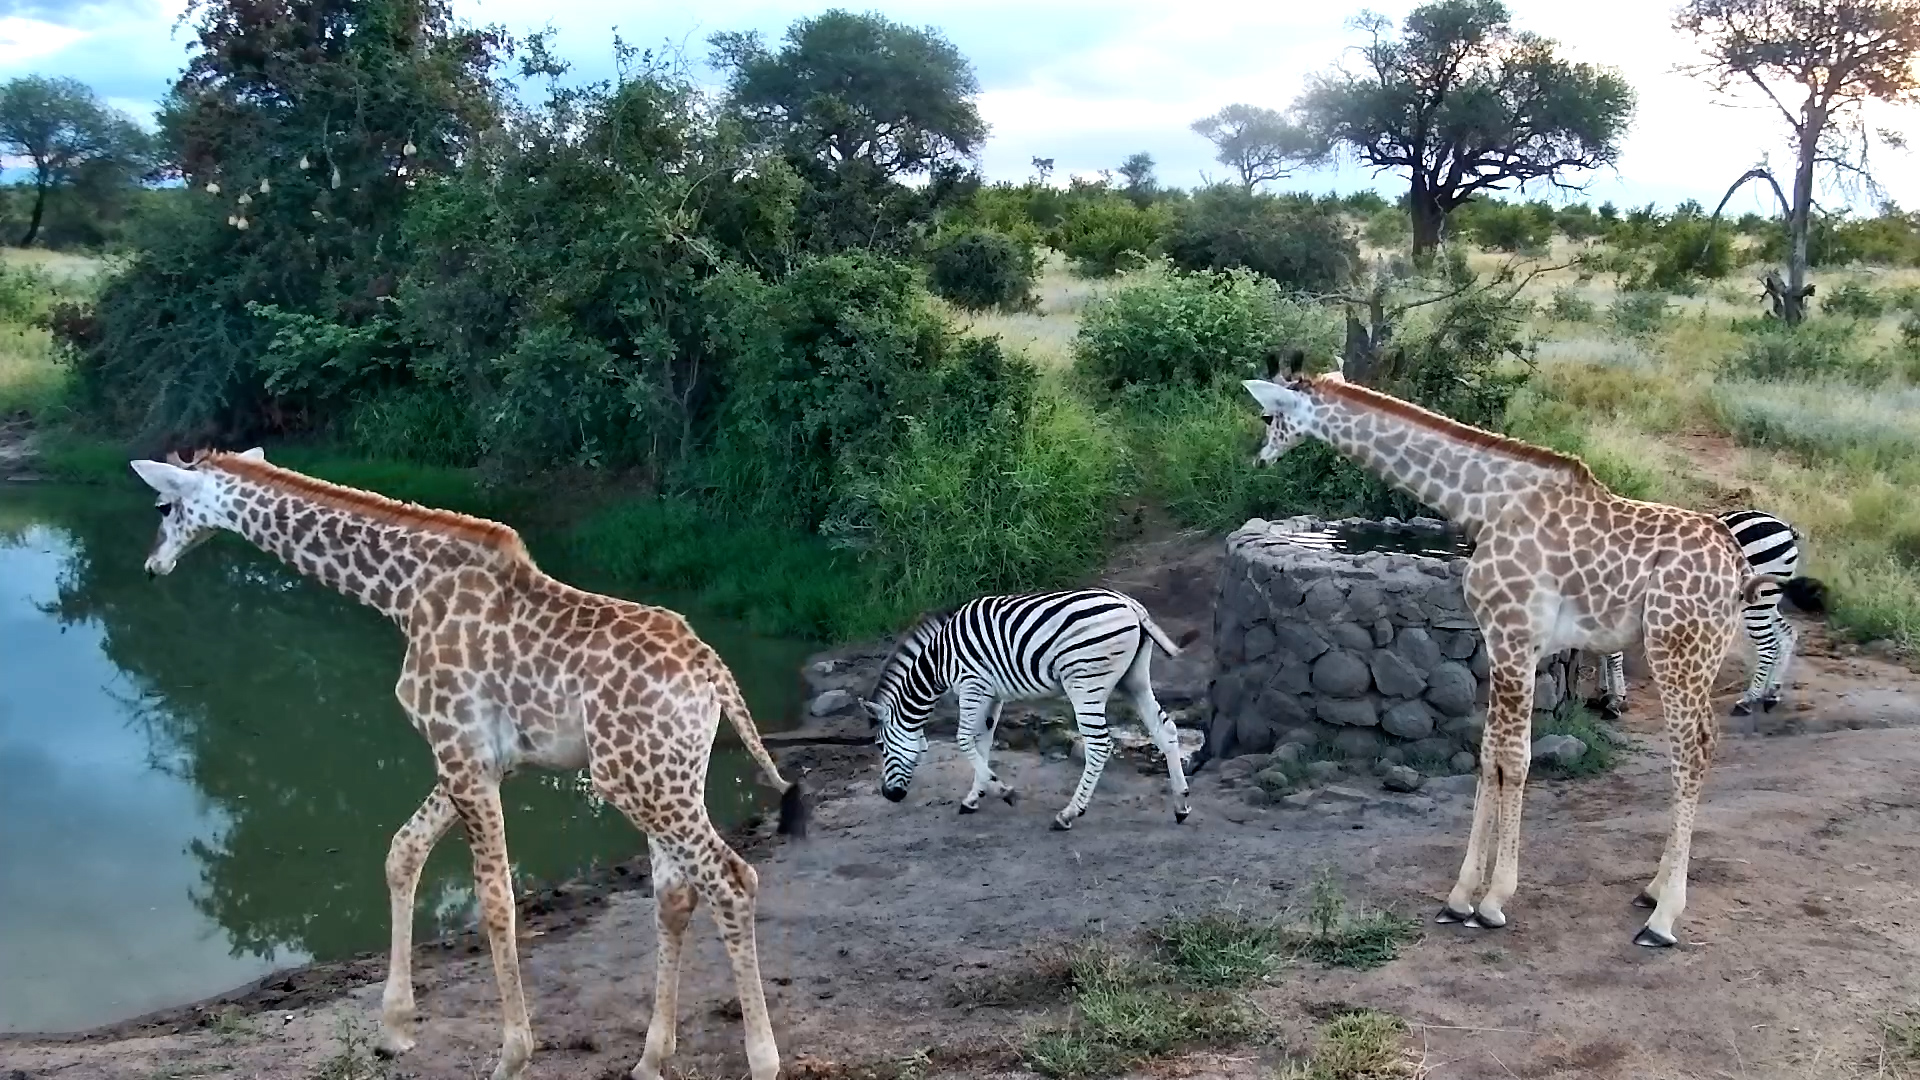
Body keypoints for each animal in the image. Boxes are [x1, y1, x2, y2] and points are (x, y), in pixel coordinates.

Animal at [128, 448, 805, 1080]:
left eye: (162, 506)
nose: (152, 564)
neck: (403, 593)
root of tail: (713, 673)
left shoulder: (462, 752)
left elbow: (496, 899)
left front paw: (511, 1055)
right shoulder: (476, 758)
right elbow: (403, 852)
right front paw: (394, 1029)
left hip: (639, 784)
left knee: (733, 882)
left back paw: (763, 1059)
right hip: (667, 777)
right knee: (677, 894)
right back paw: (650, 1058)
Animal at [1241, 349, 1822, 947]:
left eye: (1267, 415)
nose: (1259, 458)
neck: (1486, 501)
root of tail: (1736, 566)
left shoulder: (1514, 636)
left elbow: (1514, 760)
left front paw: (1494, 901)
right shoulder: (1504, 640)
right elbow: (1488, 754)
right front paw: (1459, 897)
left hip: (1677, 649)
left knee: (1692, 751)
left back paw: (1663, 919)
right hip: (1697, 654)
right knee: (1705, 743)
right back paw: (1652, 889)